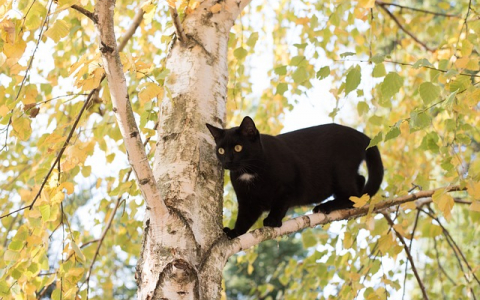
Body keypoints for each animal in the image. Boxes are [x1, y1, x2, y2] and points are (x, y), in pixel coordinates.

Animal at [205, 116, 382, 239]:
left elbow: (280, 204)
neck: (249, 173)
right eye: (221, 150)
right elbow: (244, 219)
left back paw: (325, 206)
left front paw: (272, 220)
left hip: (341, 171)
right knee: (359, 183)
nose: (227, 161)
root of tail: (360, 134)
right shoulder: (248, 202)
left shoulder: (288, 186)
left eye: (238, 147)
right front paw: (234, 233)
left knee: (352, 196)